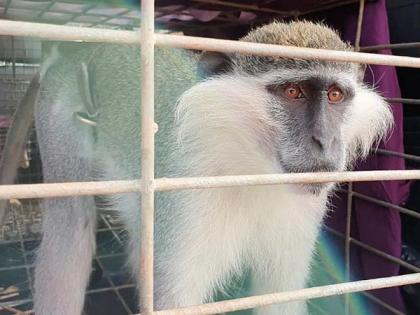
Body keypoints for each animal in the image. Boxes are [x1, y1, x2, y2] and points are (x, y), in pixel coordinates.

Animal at [33, 21, 394, 314]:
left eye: (334, 95)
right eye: (294, 92)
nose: (324, 141)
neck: (250, 165)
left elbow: (279, 294)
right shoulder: (187, 199)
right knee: (70, 229)